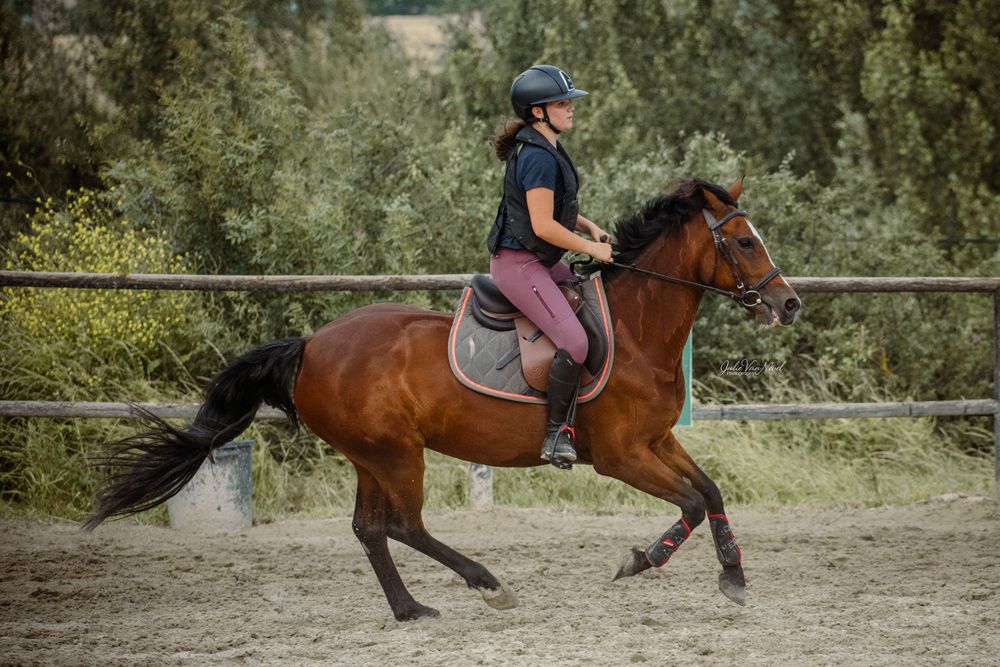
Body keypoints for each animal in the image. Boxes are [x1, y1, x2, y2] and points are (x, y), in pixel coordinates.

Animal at [84, 177, 801, 621]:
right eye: (744, 241)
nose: (788, 303)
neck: (635, 329)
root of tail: (311, 344)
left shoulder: (657, 440)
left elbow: (708, 492)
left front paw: (727, 576)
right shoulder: (623, 455)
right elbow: (690, 500)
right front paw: (645, 562)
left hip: (370, 455)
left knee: (370, 529)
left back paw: (410, 610)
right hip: (398, 453)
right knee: (404, 526)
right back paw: (488, 585)